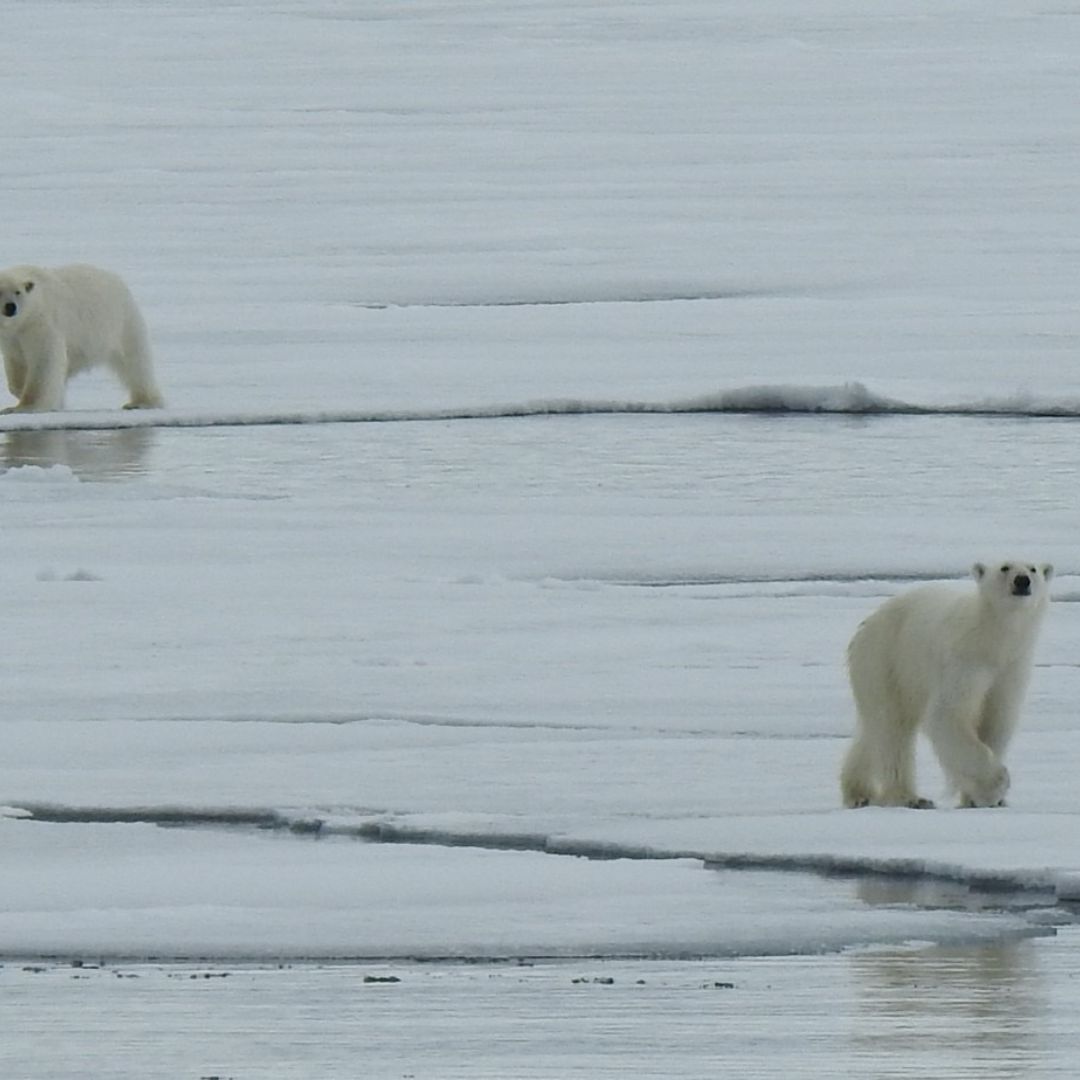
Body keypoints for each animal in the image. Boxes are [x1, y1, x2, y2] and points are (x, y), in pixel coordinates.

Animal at [0, 263, 164, 413]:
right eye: (0, 291)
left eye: (18, 292)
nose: (11, 307)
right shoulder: (11, 337)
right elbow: (16, 364)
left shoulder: (40, 323)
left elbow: (44, 361)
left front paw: (23, 407)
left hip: (121, 323)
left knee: (135, 362)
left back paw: (142, 402)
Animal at [840, 560, 1051, 810]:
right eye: (1005, 567)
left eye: (1033, 569)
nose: (1022, 581)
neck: (992, 639)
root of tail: (868, 623)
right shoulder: (963, 661)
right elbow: (948, 715)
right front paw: (994, 787)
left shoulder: (1011, 669)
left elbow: (997, 720)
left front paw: (980, 798)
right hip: (885, 660)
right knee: (891, 727)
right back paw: (909, 797)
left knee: (873, 730)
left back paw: (859, 792)